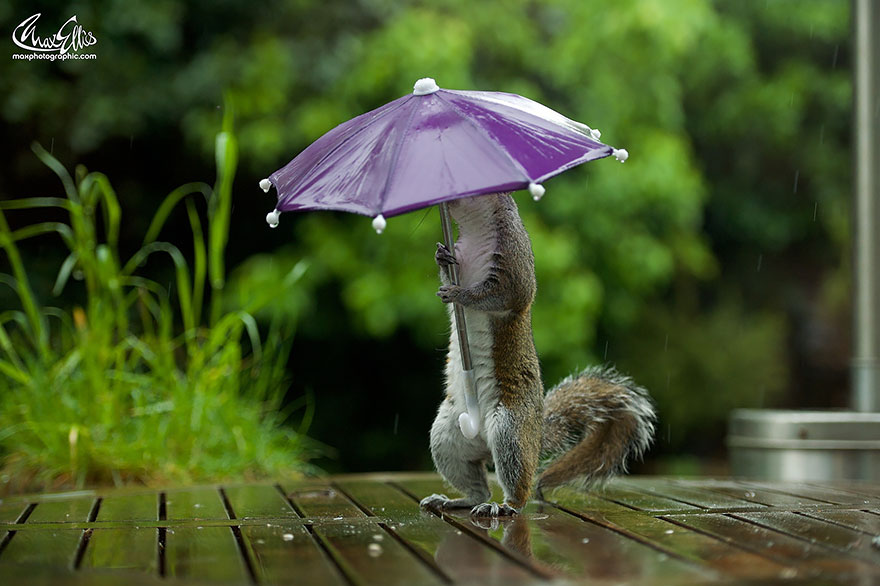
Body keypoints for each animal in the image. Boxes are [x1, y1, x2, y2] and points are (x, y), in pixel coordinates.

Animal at [419, 192, 656, 518]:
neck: (478, 228)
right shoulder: (462, 260)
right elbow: (449, 274)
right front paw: (441, 258)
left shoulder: (515, 263)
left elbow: (504, 295)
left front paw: (461, 295)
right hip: (447, 437)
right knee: (476, 485)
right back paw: (455, 500)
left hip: (509, 430)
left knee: (518, 485)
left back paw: (503, 506)